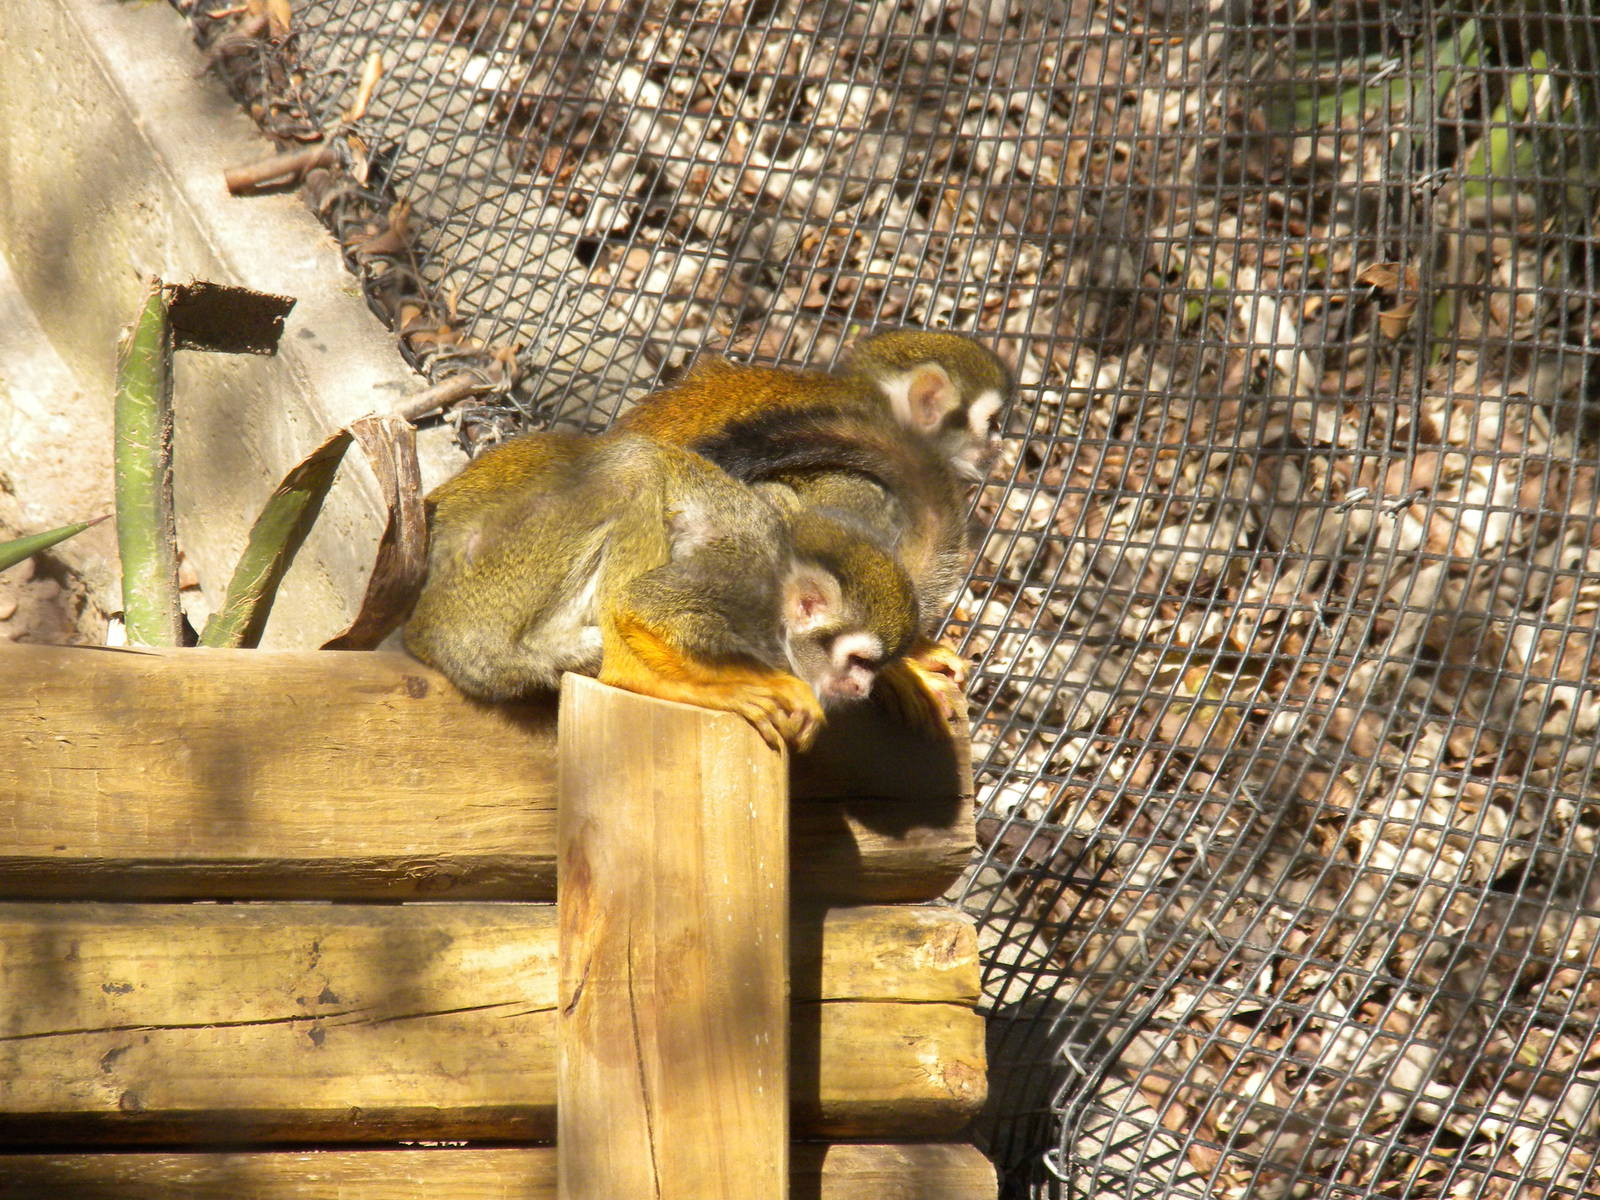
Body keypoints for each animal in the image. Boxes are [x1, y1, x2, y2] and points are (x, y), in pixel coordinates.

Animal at [403, 430, 918, 751]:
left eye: (870, 668)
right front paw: (751, 685)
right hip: (494, 584)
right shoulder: (740, 576)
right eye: (859, 661)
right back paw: (639, 675)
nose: (863, 687)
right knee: (635, 467)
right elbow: (641, 605)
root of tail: (422, 631)